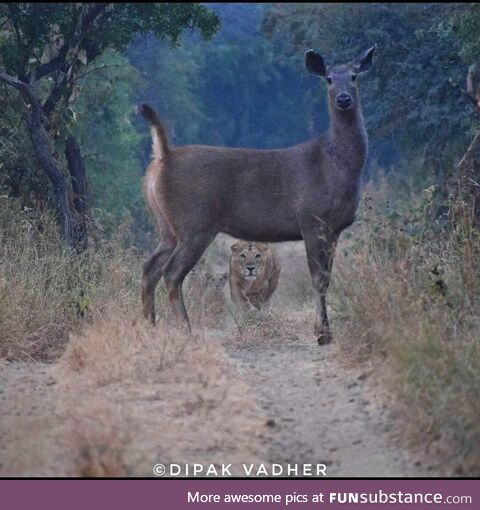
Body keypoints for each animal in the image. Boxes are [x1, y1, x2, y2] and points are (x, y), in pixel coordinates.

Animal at [141, 45, 376, 344]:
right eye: (329, 78)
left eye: (354, 76)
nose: (344, 99)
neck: (336, 164)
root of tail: (163, 158)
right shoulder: (311, 219)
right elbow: (319, 278)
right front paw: (322, 333)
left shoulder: (334, 228)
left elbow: (326, 278)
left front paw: (323, 330)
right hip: (195, 224)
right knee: (171, 272)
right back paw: (185, 329)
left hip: (167, 227)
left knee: (149, 268)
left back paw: (149, 325)